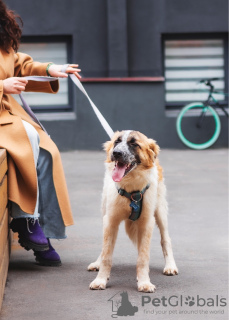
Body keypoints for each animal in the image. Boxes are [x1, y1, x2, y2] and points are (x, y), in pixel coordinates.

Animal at [87, 130, 178, 292]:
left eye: (134, 144)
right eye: (117, 142)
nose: (116, 153)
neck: (131, 189)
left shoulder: (147, 222)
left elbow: (143, 257)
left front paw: (144, 282)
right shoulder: (110, 220)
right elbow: (106, 255)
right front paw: (101, 280)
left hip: (160, 211)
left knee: (165, 239)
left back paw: (170, 265)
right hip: (104, 209)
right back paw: (97, 263)